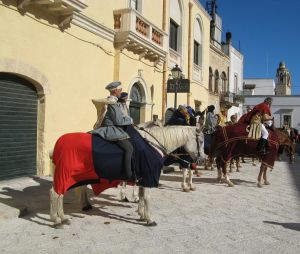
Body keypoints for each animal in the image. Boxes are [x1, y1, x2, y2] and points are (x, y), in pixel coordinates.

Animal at [49, 125, 204, 226]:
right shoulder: (148, 177)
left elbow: (141, 195)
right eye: (201, 141)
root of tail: (58, 144)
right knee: (55, 193)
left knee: (62, 193)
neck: (153, 145)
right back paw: (57, 219)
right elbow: (147, 197)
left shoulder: (142, 178)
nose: (202, 159)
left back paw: (64, 216)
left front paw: (141, 215)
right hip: (65, 174)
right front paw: (149, 219)